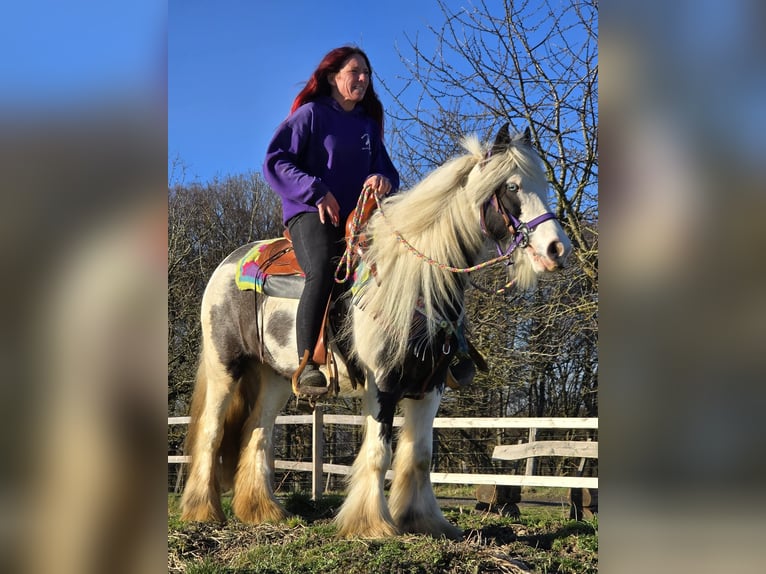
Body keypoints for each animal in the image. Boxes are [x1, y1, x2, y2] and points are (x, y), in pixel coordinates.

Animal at [179, 123, 572, 539]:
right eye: (512, 187)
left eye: (543, 185)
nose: (557, 248)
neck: (415, 280)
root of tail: (228, 263)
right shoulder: (382, 382)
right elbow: (380, 452)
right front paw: (371, 524)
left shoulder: (431, 384)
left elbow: (419, 455)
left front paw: (423, 520)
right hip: (226, 367)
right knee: (211, 431)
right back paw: (202, 511)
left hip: (276, 376)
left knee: (258, 431)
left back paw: (262, 511)